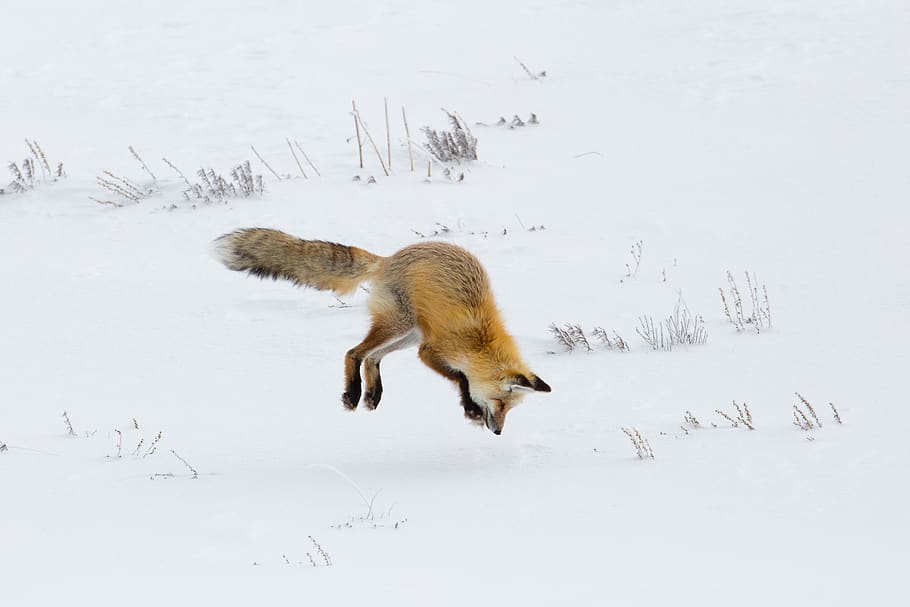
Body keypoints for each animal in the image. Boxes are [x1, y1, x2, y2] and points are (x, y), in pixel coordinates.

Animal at [213, 227, 550, 434]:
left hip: (408, 334)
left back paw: (372, 395)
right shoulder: (428, 351)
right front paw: (470, 408)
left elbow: (462, 377)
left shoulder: (426, 348)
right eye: (502, 405)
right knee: (354, 352)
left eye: (510, 410)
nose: (498, 431)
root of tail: (388, 259)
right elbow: (461, 378)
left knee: (373, 358)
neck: (479, 340)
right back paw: (353, 394)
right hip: (399, 326)